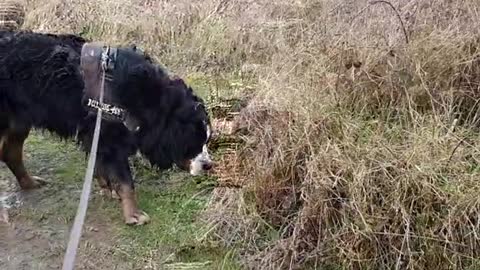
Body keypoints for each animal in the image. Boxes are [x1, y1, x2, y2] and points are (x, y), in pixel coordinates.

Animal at [0, 31, 214, 226]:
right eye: (193, 142)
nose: (209, 165)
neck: (147, 98)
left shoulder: (97, 136)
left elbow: (99, 165)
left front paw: (107, 187)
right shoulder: (110, 138)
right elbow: (126, 181)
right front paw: (133, 214)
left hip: (19, 121)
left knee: (11, 153)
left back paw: (29, 183)